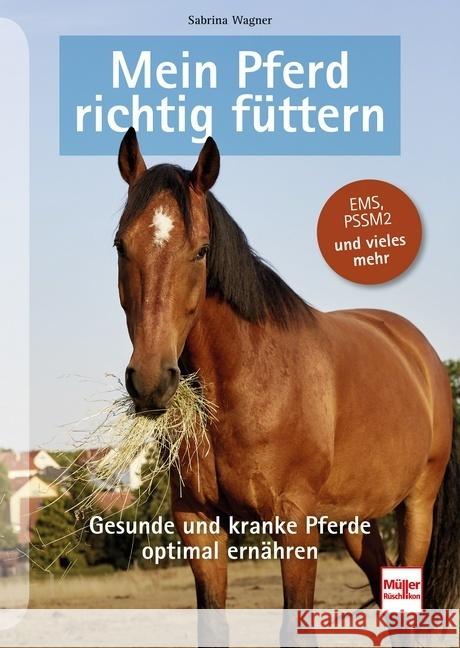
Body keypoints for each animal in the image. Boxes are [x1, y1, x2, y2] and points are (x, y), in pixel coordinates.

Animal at [113, 127, 459, 611]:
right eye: (121, 245)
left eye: (201, 251)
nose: (150, 382)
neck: (247, 380)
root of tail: (419, 351)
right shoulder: (198, 524)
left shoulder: (295, 525)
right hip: (356, 520)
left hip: (417, 509)